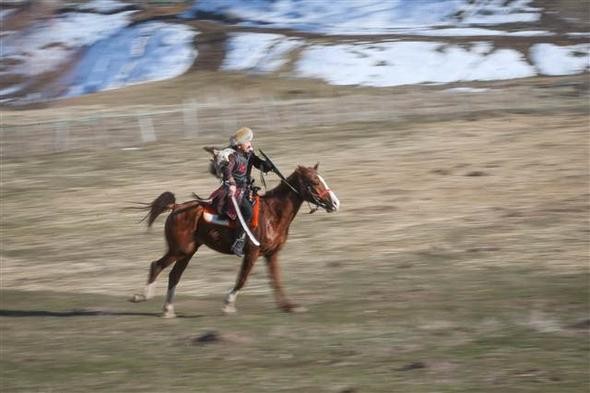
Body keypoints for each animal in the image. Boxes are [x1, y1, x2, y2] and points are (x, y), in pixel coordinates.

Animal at [131, 162, 340, 316]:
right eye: (314, 181)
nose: (335, 203)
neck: (274, 213)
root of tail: (176, 207)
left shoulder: (272, 254)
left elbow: (276, 280)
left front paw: (289, 306)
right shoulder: (252, 252)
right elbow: (242, 278)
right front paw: (228, 304)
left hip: (188, 251)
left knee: (174, 275)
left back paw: (168, 309)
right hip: (179, 250)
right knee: (156, 265)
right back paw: (142, 296)